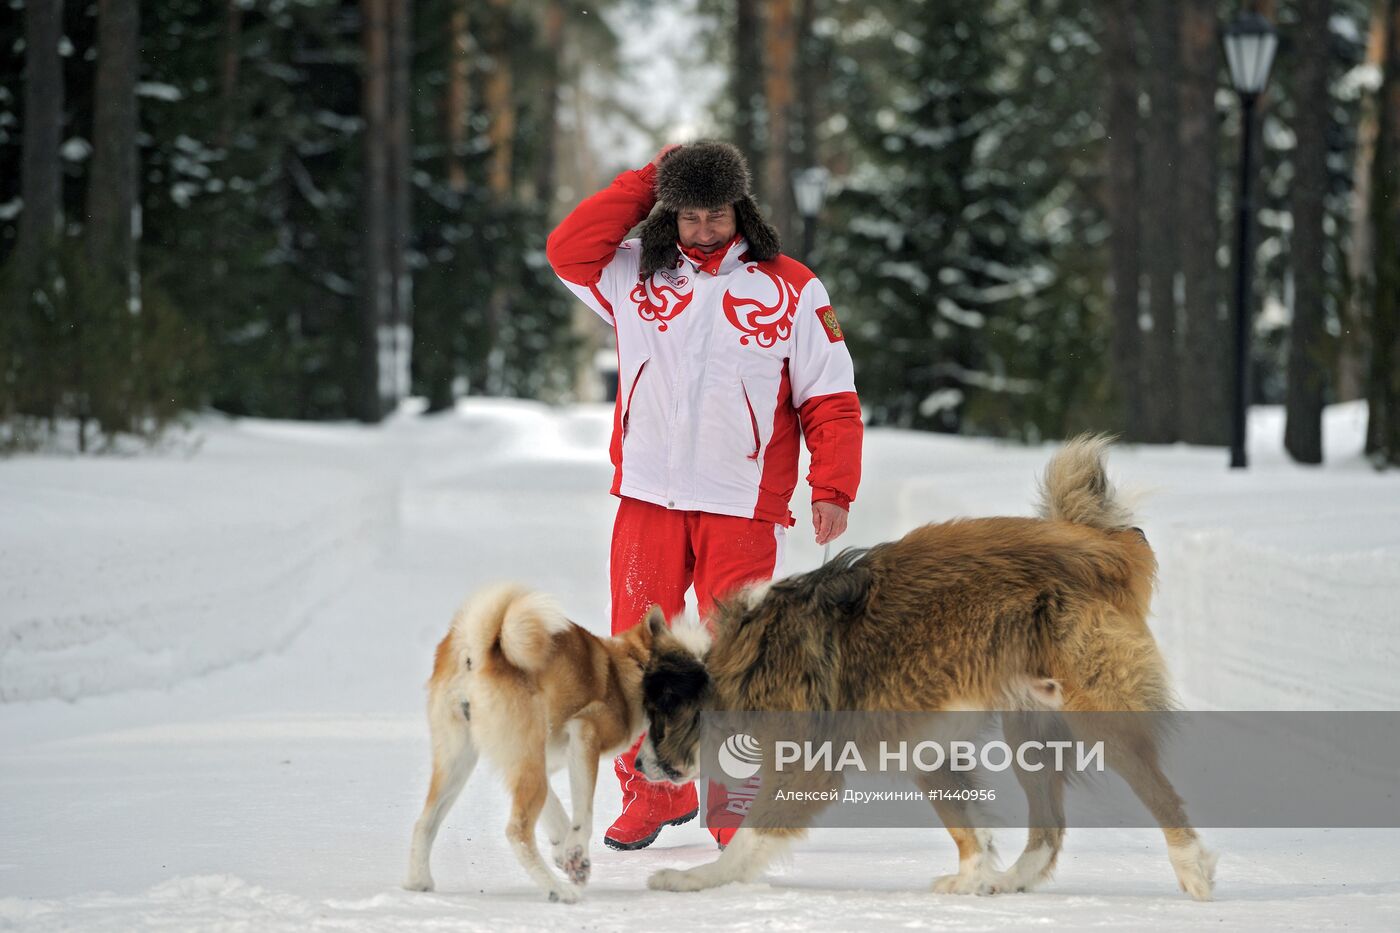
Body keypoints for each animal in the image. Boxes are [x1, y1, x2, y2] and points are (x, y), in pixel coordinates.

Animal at [403, 585, 669, 896]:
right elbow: (582, 813)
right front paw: (573, 853)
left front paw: (569, 856)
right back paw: (558, 891)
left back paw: (418, 882)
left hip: (462, 763)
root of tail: (477, 651)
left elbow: (557, 816)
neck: (631, 664)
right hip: (524, 758)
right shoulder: (584, 735)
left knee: (424, 822)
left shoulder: (542, 762)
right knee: (517, 832)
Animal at [635, 437, 1215, 902]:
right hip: (1029, 724)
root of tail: (1101, 547)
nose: (639, 765)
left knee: (1158, 793)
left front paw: (695, 879)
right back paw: (1011, 880)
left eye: (658, 720)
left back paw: (1194, 870)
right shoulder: (925, 745)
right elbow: (966, 826)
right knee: (1048, 829)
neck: (735, 663)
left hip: (1097, 709)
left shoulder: (807, 763)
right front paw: (973, 876)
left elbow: (750, 837)